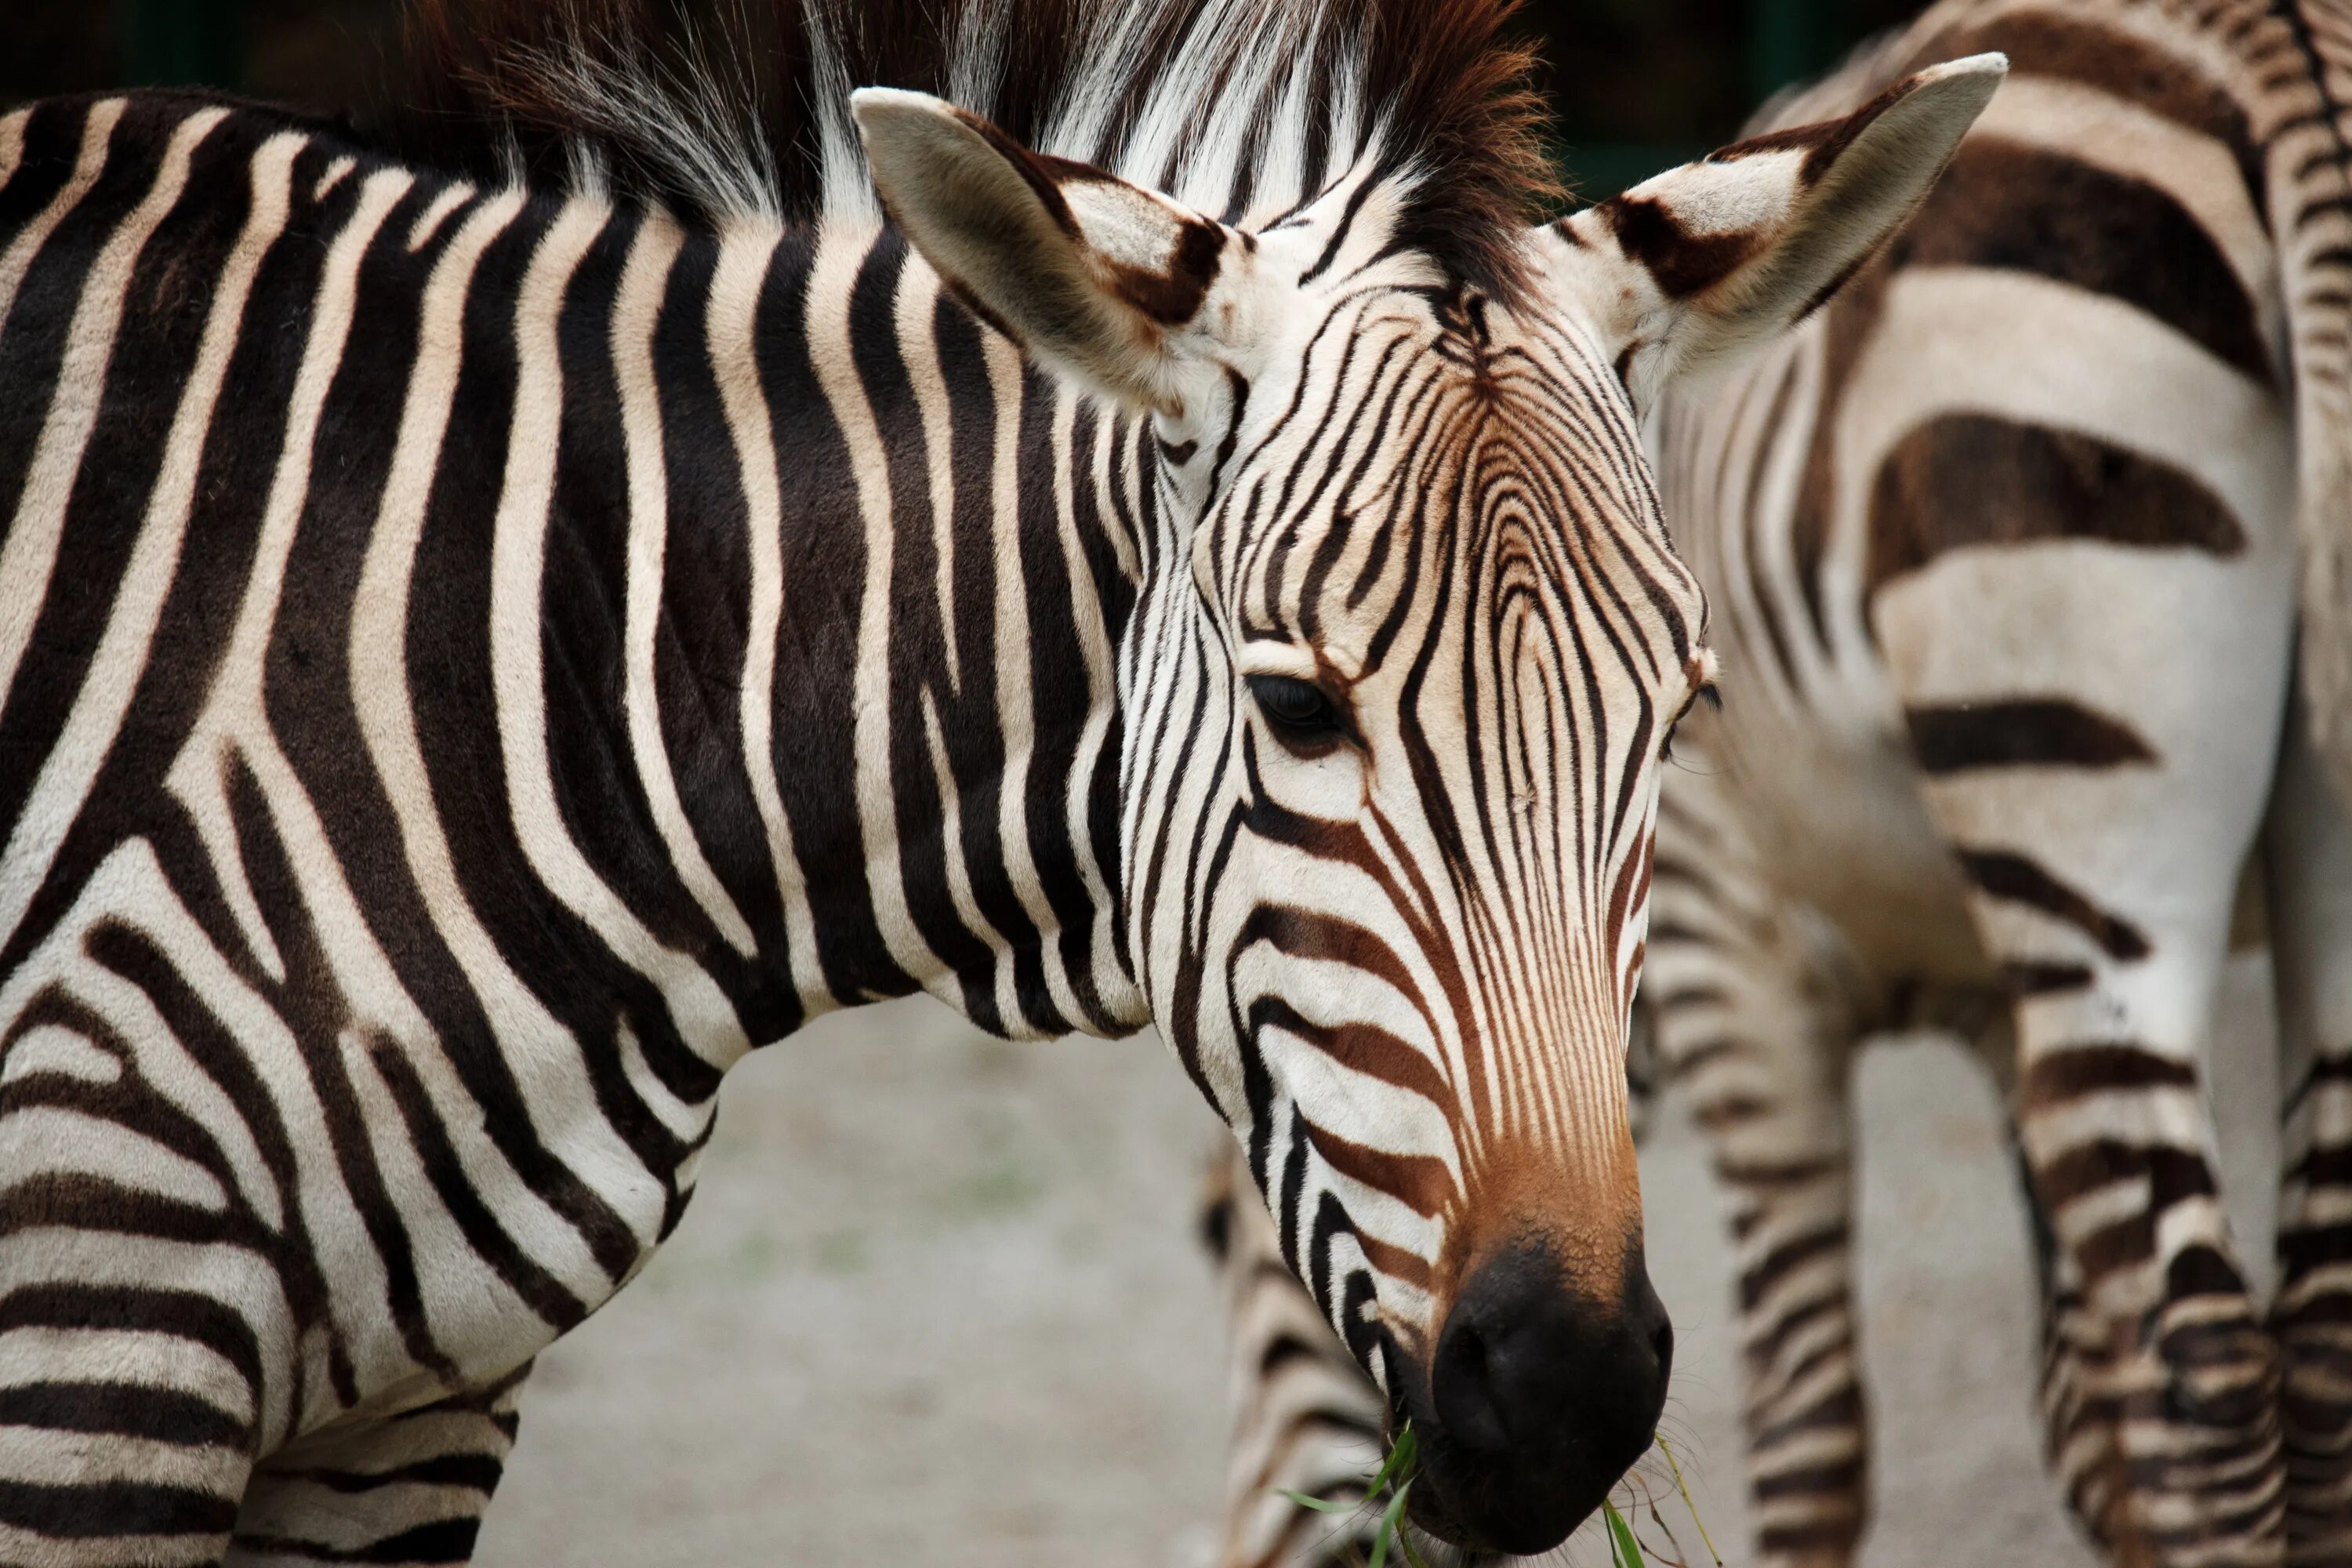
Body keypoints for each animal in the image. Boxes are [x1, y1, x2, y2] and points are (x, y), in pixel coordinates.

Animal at [1204, 2, 2352, 1568]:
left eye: (1224, 1244)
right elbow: (2077, 1410)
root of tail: (2263, 47)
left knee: (2204, 1378)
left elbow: (1816, 1437)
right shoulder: (1995, 1002)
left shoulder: (1725, 953)